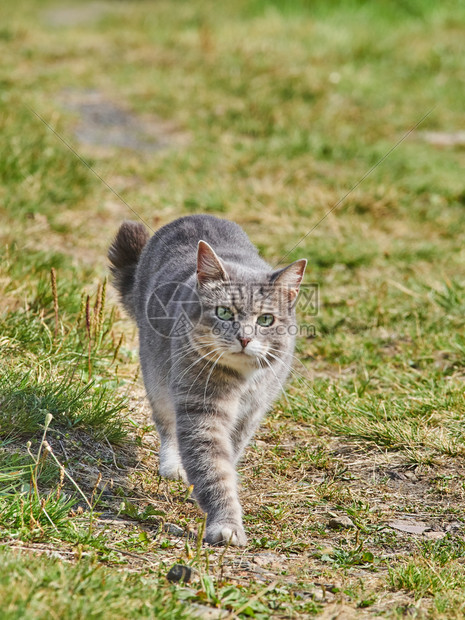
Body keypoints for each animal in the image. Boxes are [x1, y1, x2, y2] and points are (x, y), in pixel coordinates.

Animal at [108, 216, 304, 544]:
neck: (242, 381)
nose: (244, 338)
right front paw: (225, 523)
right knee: (167, 425)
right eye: (224, 313)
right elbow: (213, 468)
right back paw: (173, 465)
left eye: (266, 320)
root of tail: (192, 217)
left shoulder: (250, 413)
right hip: (157, 378)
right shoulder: (200, 409)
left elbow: (228, 458)